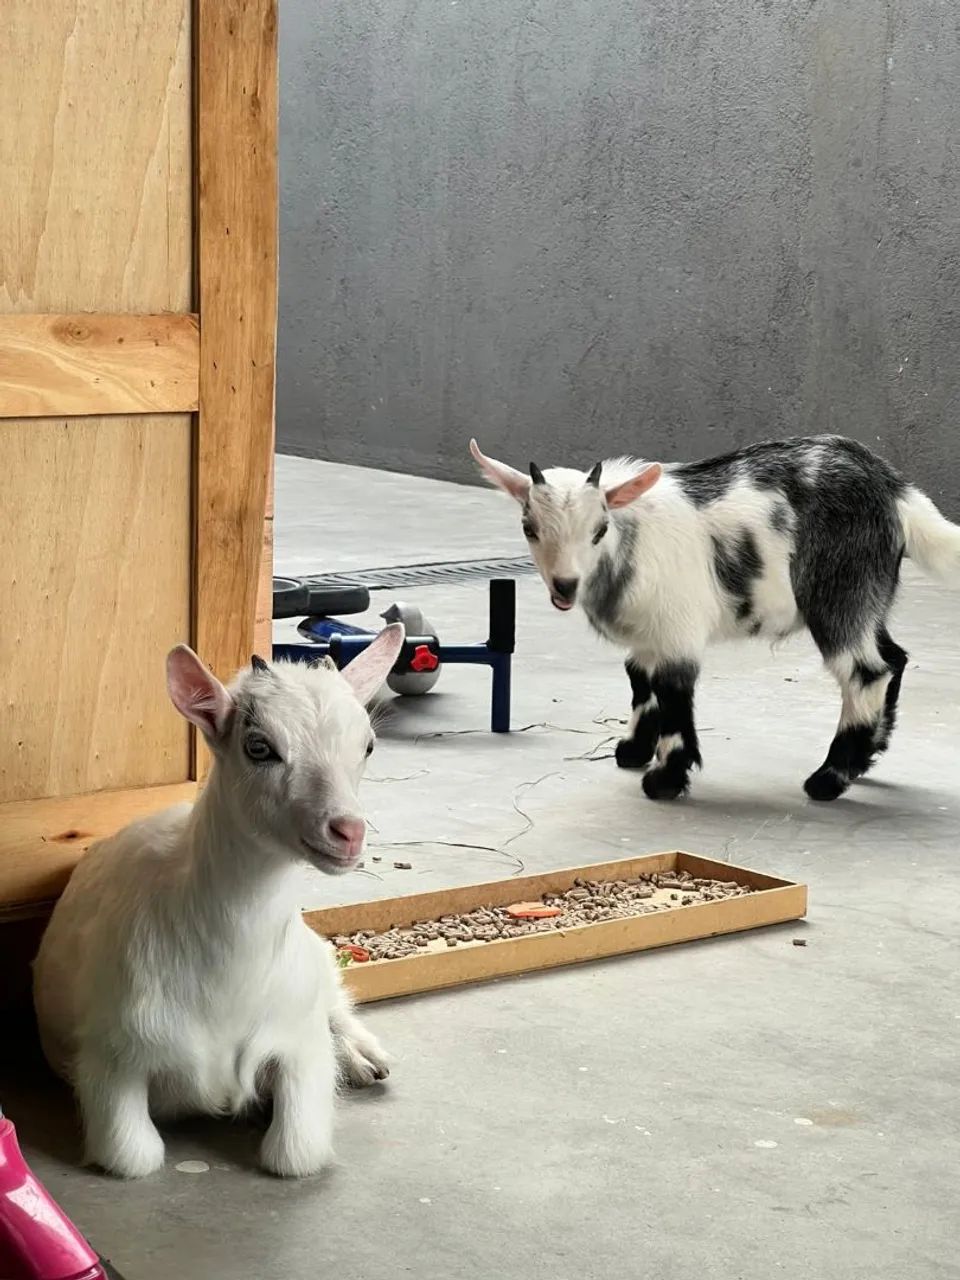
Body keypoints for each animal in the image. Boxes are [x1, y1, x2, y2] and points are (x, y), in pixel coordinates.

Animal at [32, 625, 404, 1179]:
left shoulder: (298, 1043)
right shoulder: (110, 1058)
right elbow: (132, 1156)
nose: (348, 832)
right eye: (259, 747)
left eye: (369, 745)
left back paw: (361, 1055)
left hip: (312, 957)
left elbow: (296, 1154)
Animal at [470, 434, 960, 802]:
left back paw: (830, 778)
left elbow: (671, 692)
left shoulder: (676, 631)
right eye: (529, 528)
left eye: (599, 530)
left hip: (841, 590)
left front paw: (665, 779)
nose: (565, 586)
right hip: (870, 594)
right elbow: (639, 679)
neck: (630, 541)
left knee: (865, 671)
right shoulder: (648, 633)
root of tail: (894, 490)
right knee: (893, 657)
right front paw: (634, 749)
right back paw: (867, 756)